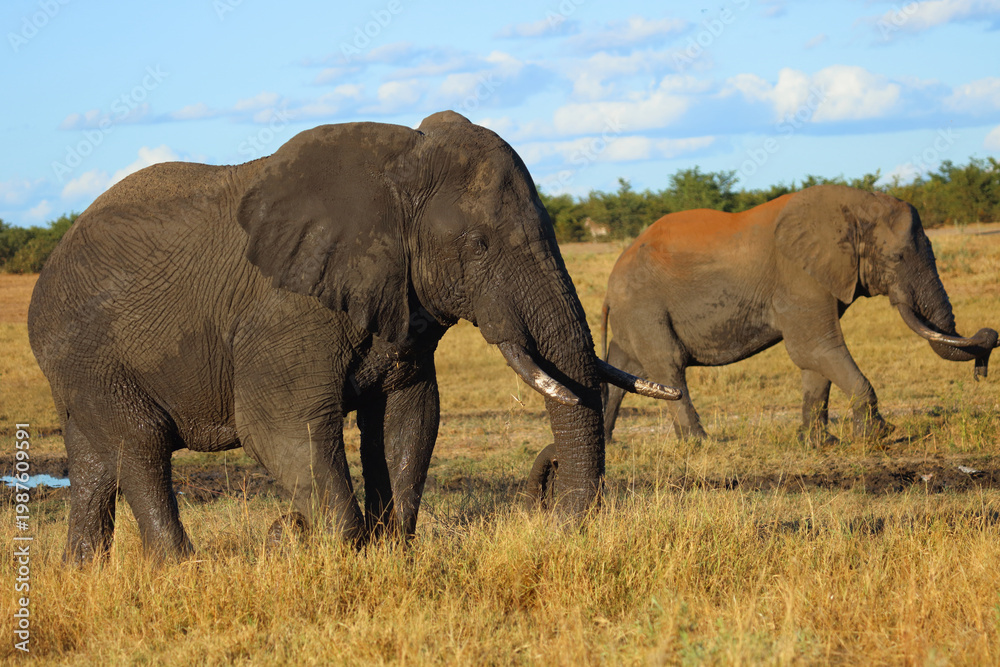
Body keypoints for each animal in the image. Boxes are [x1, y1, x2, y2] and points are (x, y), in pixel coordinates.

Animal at [28, 111, 681, 563]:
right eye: (478, 246)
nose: (555, 517)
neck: (398, 172)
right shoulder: (287, 309)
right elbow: (280, 423)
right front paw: (313, 543)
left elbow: (407, 417)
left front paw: (389, 549)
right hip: (89, 355)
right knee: (140, 446)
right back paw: (180, 569)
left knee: (96, 460)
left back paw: (82, 572)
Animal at [600, 184, 997, 445]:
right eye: (896, 258)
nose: (988, 338)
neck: (852, 209)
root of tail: (612, 277)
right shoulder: (798, 276)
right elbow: (814, 348)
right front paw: (878, 437)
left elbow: (815, 360)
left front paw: (819, 443)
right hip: (644, 306)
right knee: (668, 366)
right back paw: (700, 443)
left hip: (634, 314)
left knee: (623, 369)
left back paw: (608, 442)